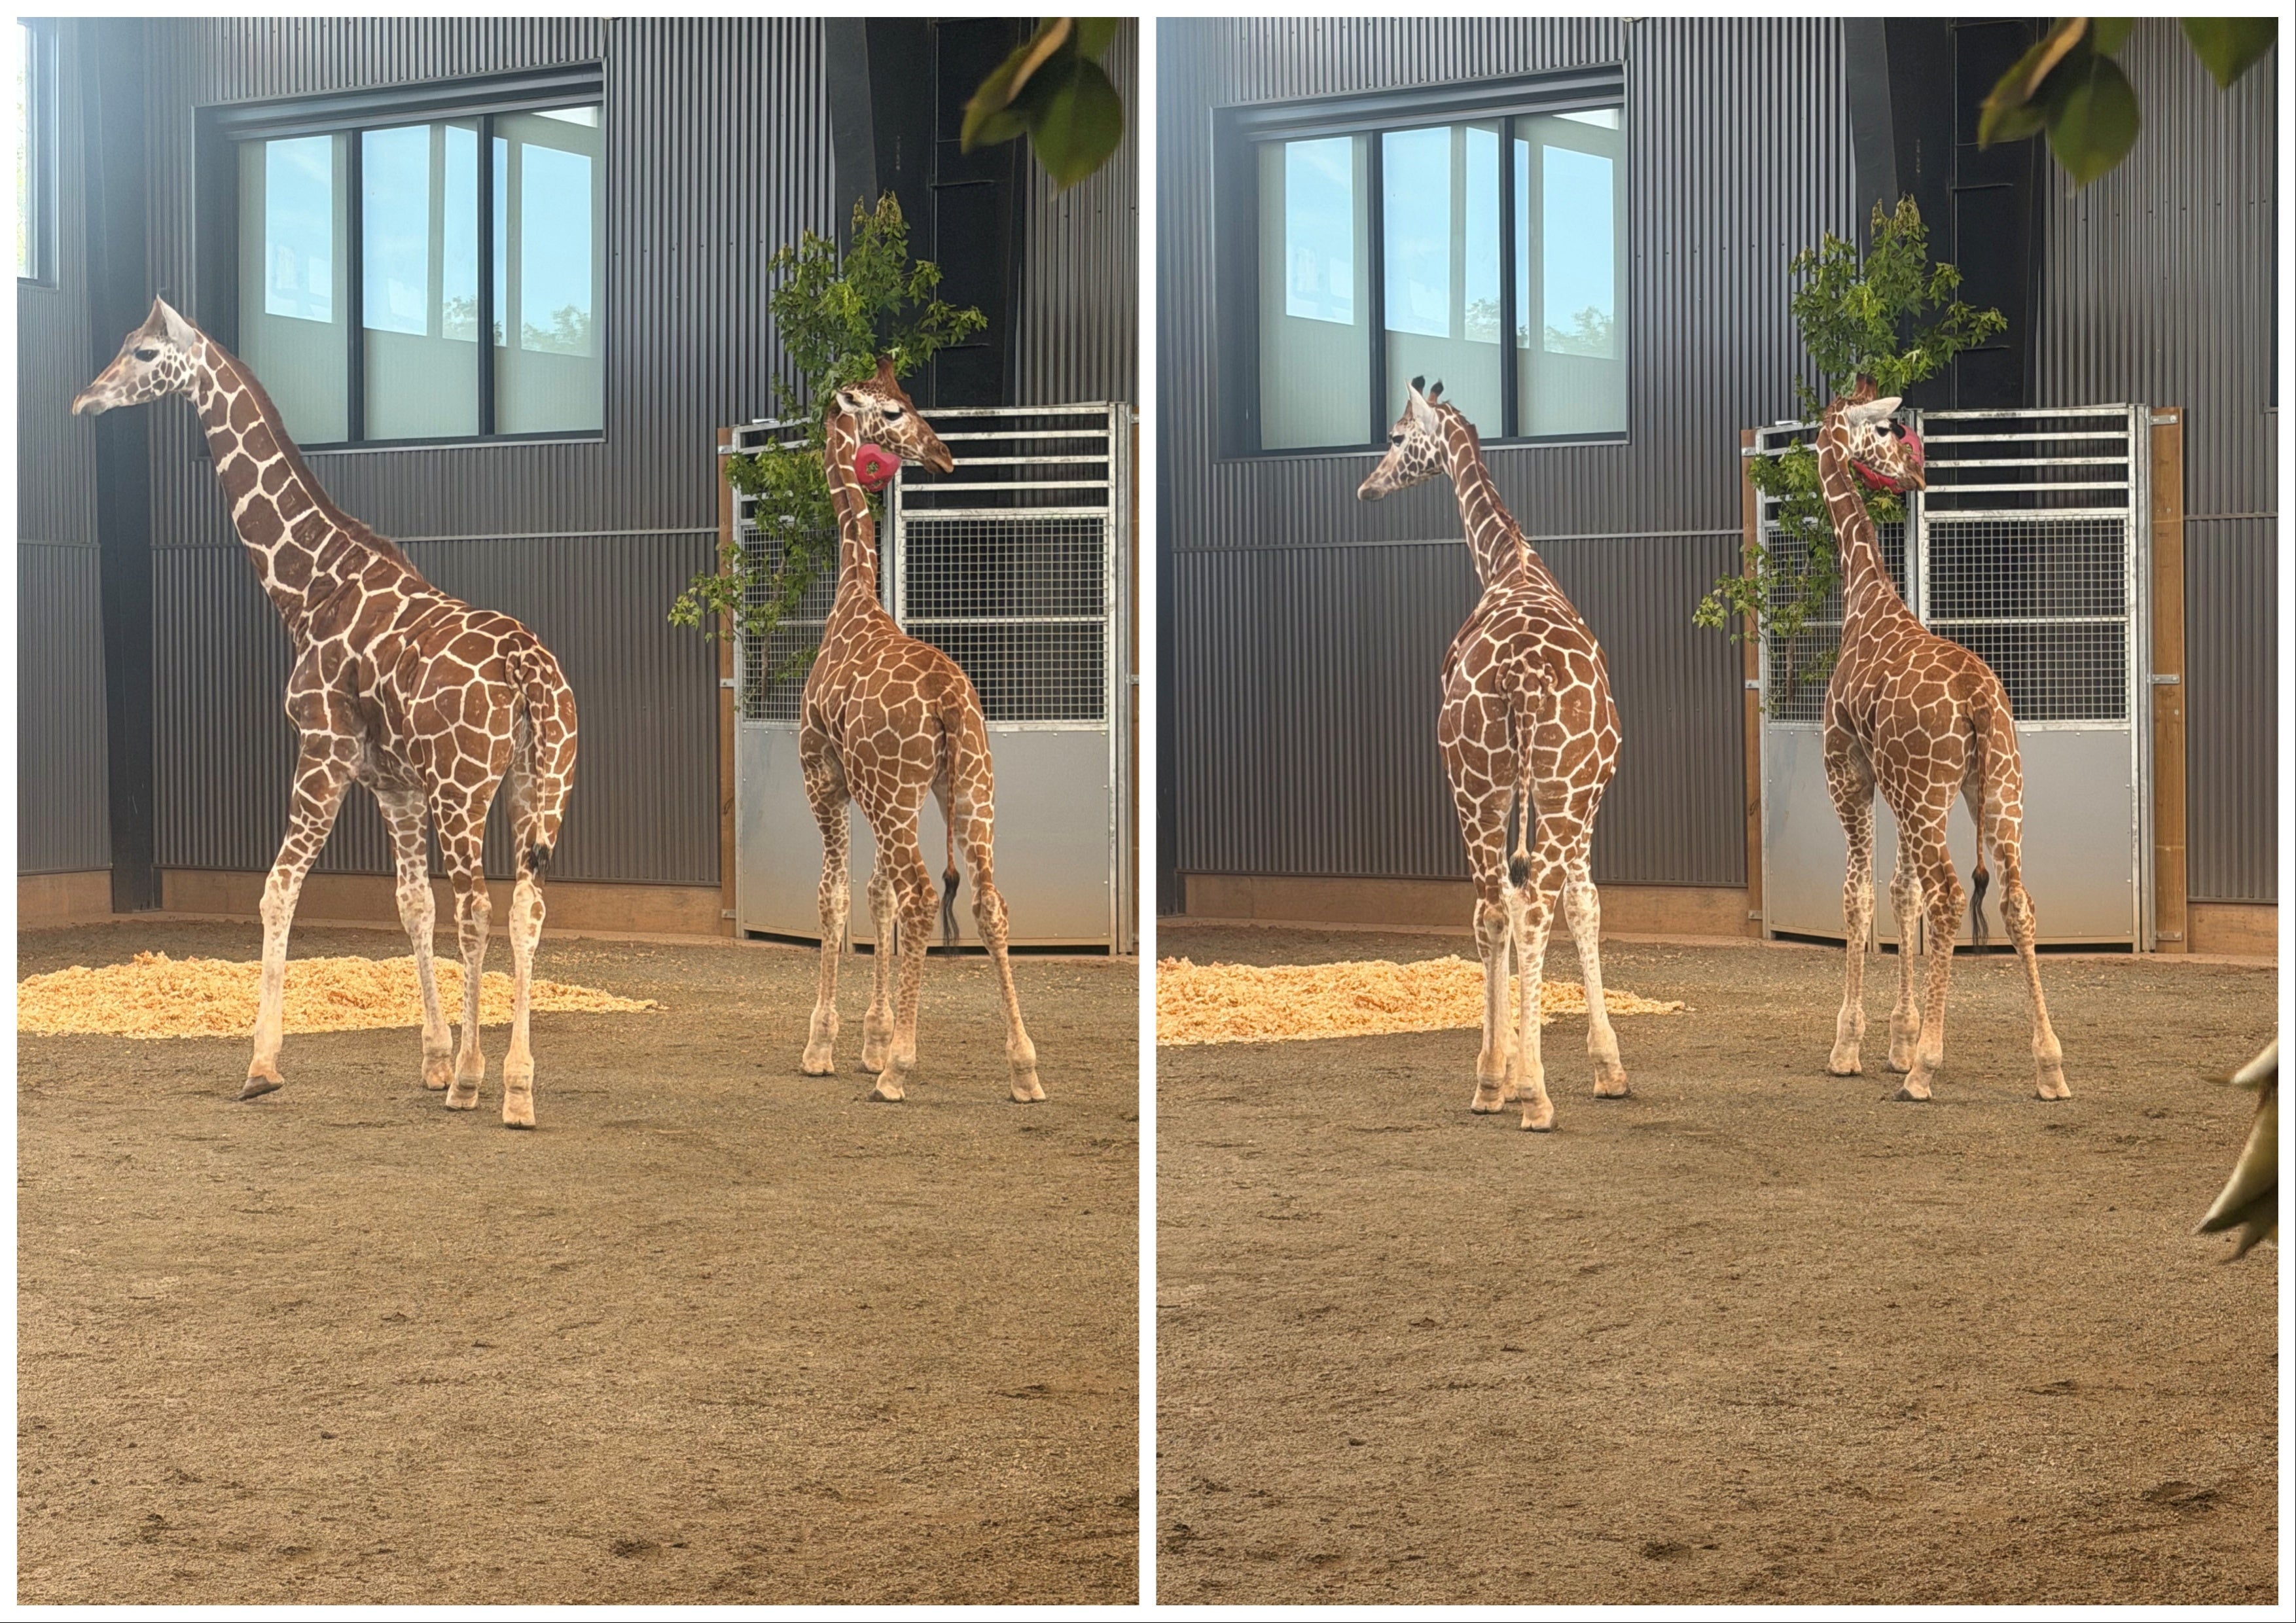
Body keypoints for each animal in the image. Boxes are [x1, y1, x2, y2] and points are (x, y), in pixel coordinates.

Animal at [72, 298, 579, 1128]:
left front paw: (262, 1064)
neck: (311, 587)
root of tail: (527, 668)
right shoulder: (393, 783)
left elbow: (279, 888)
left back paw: (479, 1079)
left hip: (465, 787)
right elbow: (411, 905)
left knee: (479, 904)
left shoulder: (324, 747)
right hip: (541, 783)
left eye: (144, 352)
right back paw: (517, 1086)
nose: (86, 400)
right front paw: (433, 1059)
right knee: (525, 907)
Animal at [796, 356, 1043, 1105]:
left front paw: (828, 1045)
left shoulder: (824, 776)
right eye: (895, 410)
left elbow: (837, 896)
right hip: (967, 788)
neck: (852, 599)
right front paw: (872, 1038)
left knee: (924, 894)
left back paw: (900, 1070)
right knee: (988, 899)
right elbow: (873, 895)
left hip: (897, 791)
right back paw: (1024, 1067)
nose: (944, 454)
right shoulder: (869, 791)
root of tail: (948, 703)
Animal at [1358, 378, 1627, 1131]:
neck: (1510, 562)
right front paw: (1605, 1067)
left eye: (1396, 436)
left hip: (1479, 782)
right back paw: (1528, 1090)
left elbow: (1565, 902)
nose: (1367, 487)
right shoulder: (1582, 792)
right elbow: (1583, 903)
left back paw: (1494, 1083)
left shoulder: (1548, 793)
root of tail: (1521, 677)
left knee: (1496, 906)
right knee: (1524, 905)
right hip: (1537, 785)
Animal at [1814, 377, 2068, 1102]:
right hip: (1997, 786)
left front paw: (1853, 1046)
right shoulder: (1894, 785)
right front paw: (1897, 1038)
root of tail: (1979, 700)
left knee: (1953, 895)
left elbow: (1860, 896)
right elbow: (1902, 894)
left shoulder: (1849, 772)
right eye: (1885, 431)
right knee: (2016, 900)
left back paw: (1926, 1067)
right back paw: (2049, 1066)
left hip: (1930, 792)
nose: (1914, 473)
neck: (1866, 599)